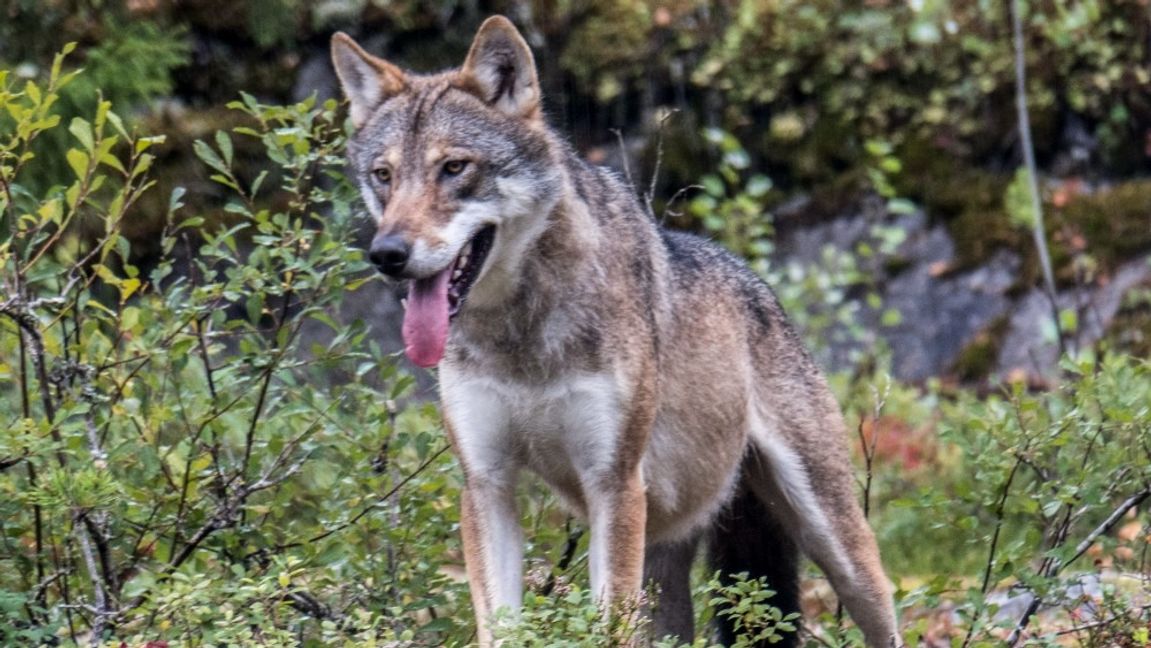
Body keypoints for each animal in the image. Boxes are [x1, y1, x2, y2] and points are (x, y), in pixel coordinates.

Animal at [331, 16, 897, 648]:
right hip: (669, 572)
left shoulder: (614, 485)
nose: (387, 254)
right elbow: (500, 626)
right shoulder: (487, 486)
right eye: (383, 176)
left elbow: (606, 628)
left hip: (835, 542)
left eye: (454, 167)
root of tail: (759, 284)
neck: (521, 336)